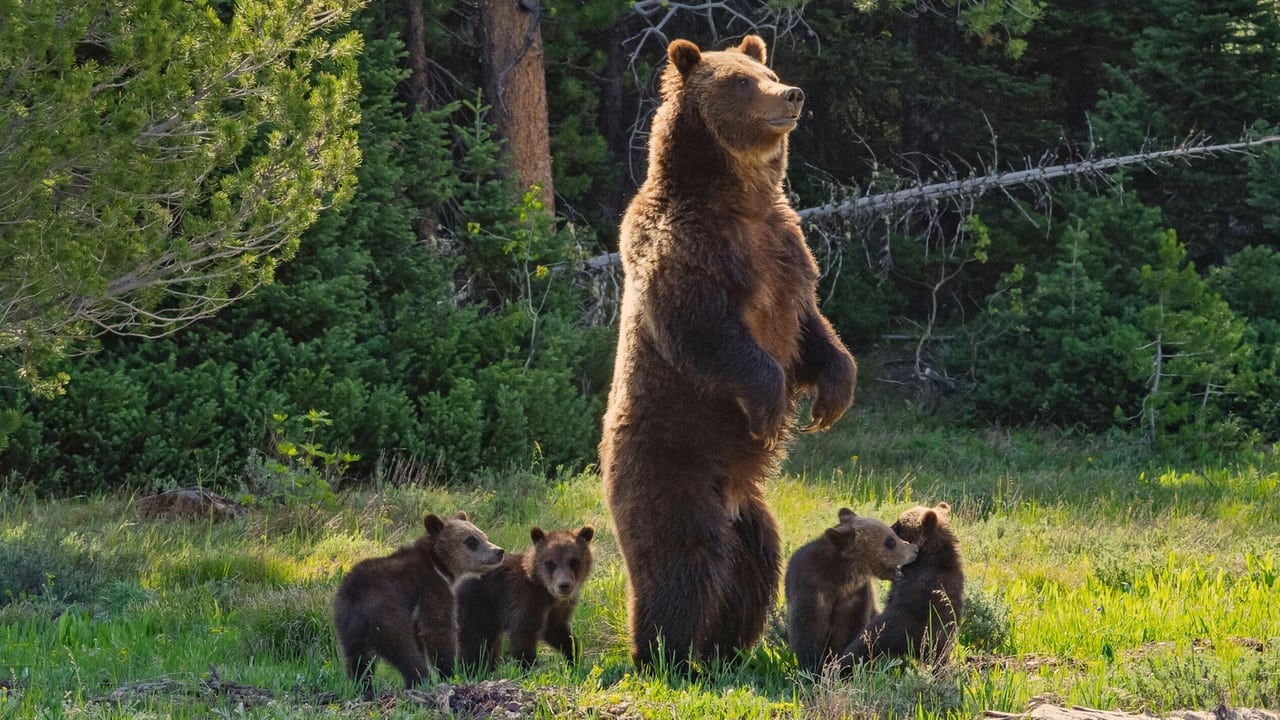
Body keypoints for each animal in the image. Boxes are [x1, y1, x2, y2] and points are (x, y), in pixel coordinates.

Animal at [332, 507, 501, 691]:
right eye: (471, 540)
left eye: (483, 535)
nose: (499, 551)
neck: (439, 565)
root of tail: (356, 595)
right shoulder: (431, 587)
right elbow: (437, 629)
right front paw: (449, 672)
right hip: (387, 613)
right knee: (404, 649)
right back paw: (419, 679)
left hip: (347, 623)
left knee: (357, 659)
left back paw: (364, 685)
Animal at [458, 520, 596, 666]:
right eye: (550, 563)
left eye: (573, 561)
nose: (564, 585)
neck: (546, 591)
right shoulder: (524, 598)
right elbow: (523, 634)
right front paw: (529, 665)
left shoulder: (557, 608)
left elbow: (556, 630)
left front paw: (574, 657)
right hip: (474, 607)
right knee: (473, 643)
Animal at [601, 35, 860, 666]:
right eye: (740, 83)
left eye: (767, 70)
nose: (791, 94)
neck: (740, 200)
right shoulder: (686, 249)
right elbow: (708, 332)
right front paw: (771, 407)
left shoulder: (786, 248)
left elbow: (811, 328)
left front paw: (833, 394)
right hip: (670, 466)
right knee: (684, 559)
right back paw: (665, 652)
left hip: (750, 510)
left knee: (754, 562)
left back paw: (728, 647)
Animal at [783, 507, 916, 671]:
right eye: (890, 541)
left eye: (893, 534)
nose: (915, 549)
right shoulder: (812, 589)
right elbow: (808, 630)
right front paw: (813, 667)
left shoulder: (855, 597)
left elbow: (849, 632)